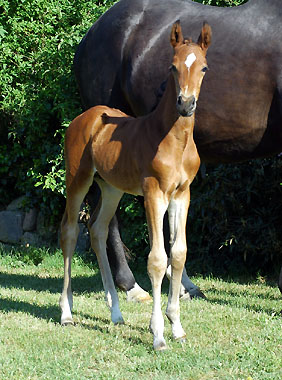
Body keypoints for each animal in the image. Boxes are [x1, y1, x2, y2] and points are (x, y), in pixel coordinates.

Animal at [60, 21, 212, 350]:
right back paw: (66, 312)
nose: (186, 104)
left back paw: (116, 313)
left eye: (204, 67)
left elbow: (178, 253)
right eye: (172, 66)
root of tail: (85, 117)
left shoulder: (182, 195)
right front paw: (158, 335)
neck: (173, 139)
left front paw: (177, 327)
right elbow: (157, 259)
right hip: (78, 179)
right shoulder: (153, 194)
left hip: (111, 188)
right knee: (69, 231)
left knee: (98, 229)